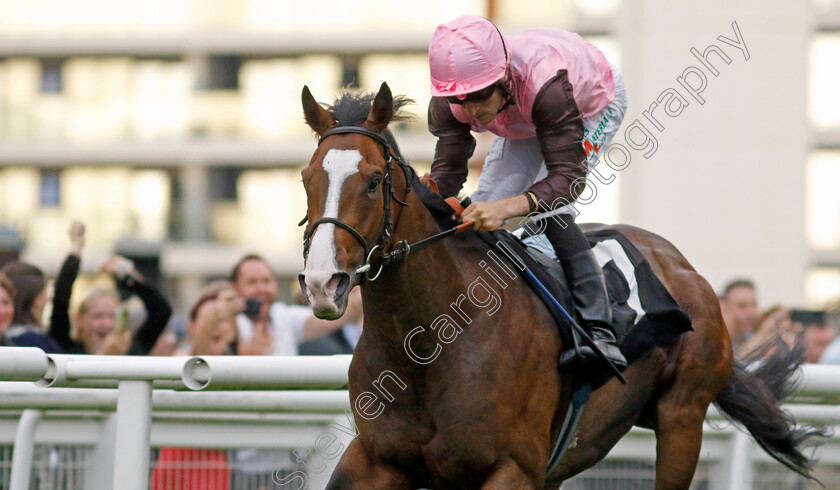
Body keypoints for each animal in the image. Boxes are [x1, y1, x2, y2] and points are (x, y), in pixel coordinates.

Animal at [298, 82, 824, 488]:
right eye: (305, 178)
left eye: (372, 181)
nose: (324, 282)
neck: (428, 344)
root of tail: (682, 266)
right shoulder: (374, 459)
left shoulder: (514, 468)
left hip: (682, 418)